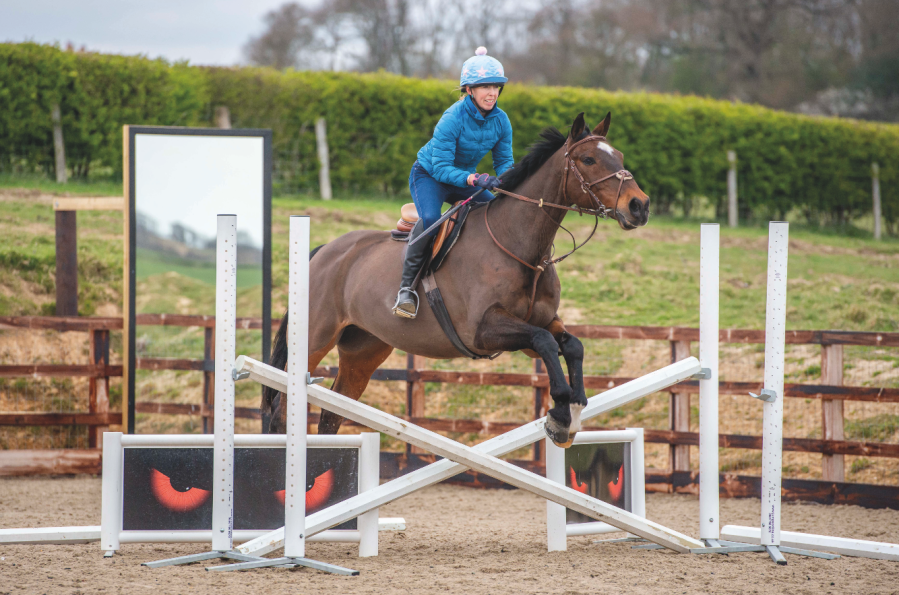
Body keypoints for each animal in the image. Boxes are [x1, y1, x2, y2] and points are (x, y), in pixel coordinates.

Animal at [264, 110, 652, 448]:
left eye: (618, 155)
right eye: (588, 160)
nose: (640, 206)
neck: (519, 244)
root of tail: (323, 251)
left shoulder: (542, 320)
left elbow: (571, 345)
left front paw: (572, 410)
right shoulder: (483, 330)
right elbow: (544, 343)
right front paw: (559, 410)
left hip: (364, 350)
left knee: (332, 415)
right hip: (314, 340)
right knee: (282, 406)